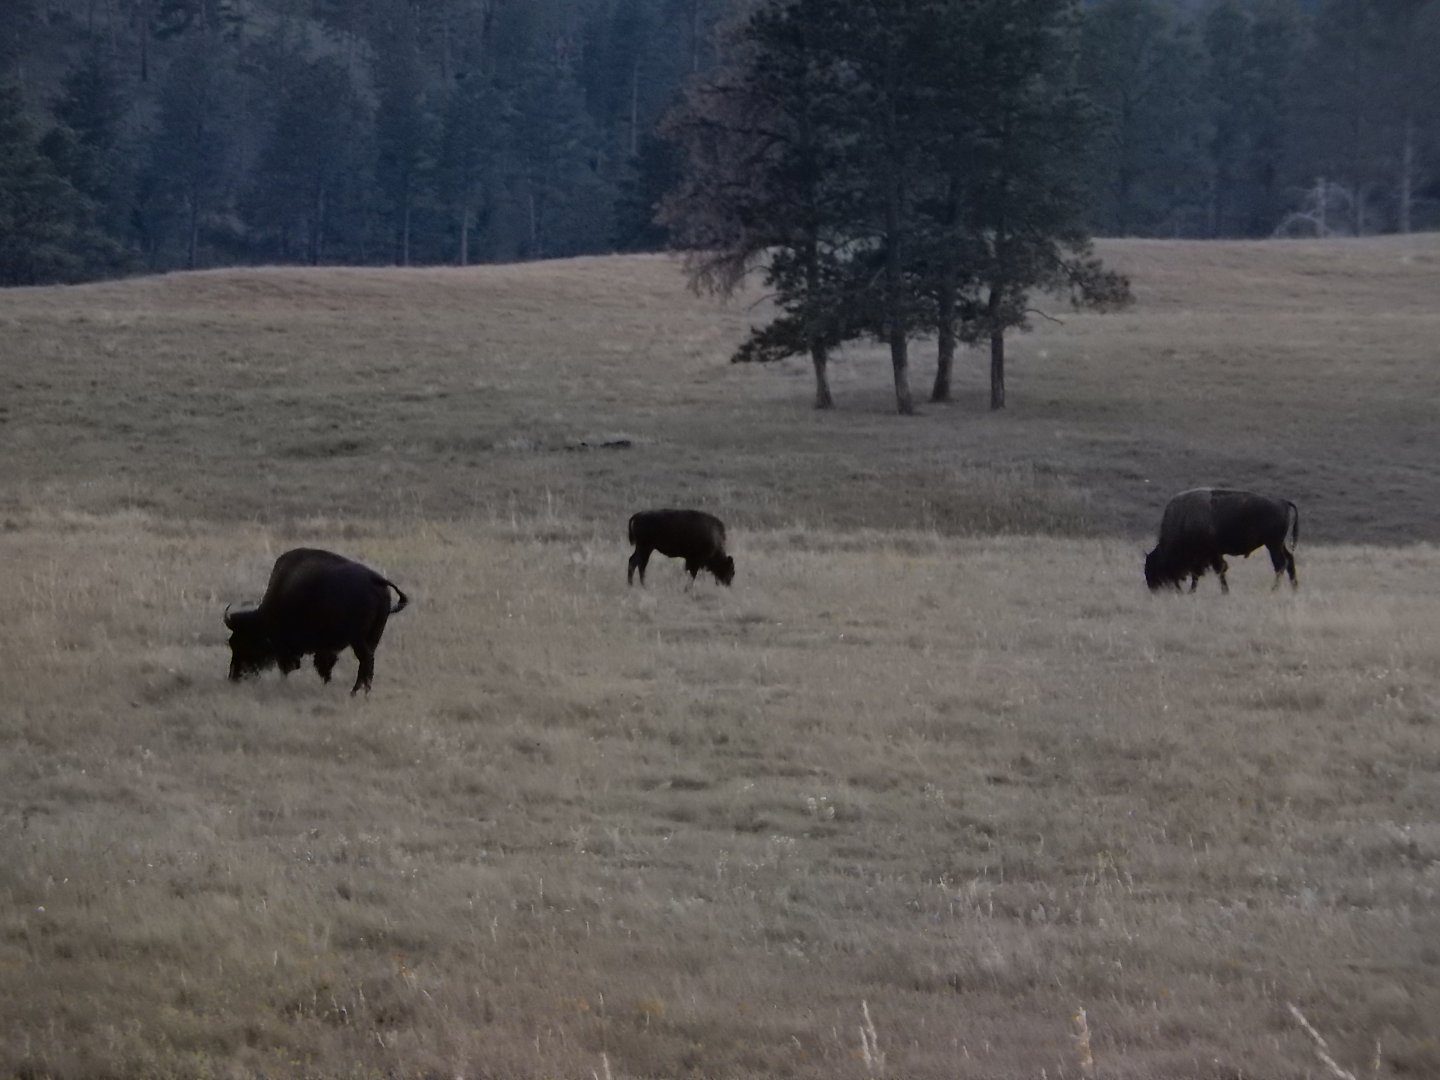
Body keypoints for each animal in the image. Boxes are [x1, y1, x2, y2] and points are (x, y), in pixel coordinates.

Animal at [224, 548, 409, 694]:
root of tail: (376, 579)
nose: (234, 677)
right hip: (373, 636)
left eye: (244, 642)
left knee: (365, 661)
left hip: (359, 640)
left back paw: (355, 692)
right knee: (367, 663)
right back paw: (363, 692)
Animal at [1144, 488, 1299, 593]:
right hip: (1279, 544)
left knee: (1280, 564)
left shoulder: (1209, 554)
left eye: (1154, 566)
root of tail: (1282, 502)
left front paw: (1222, 592)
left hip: (1273, 544)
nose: (1152, 588)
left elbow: (1216, 570)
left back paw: (1274, 589)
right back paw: (1294, 588)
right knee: (1289, 560)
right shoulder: (1212, 555)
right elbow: (1212, 571)